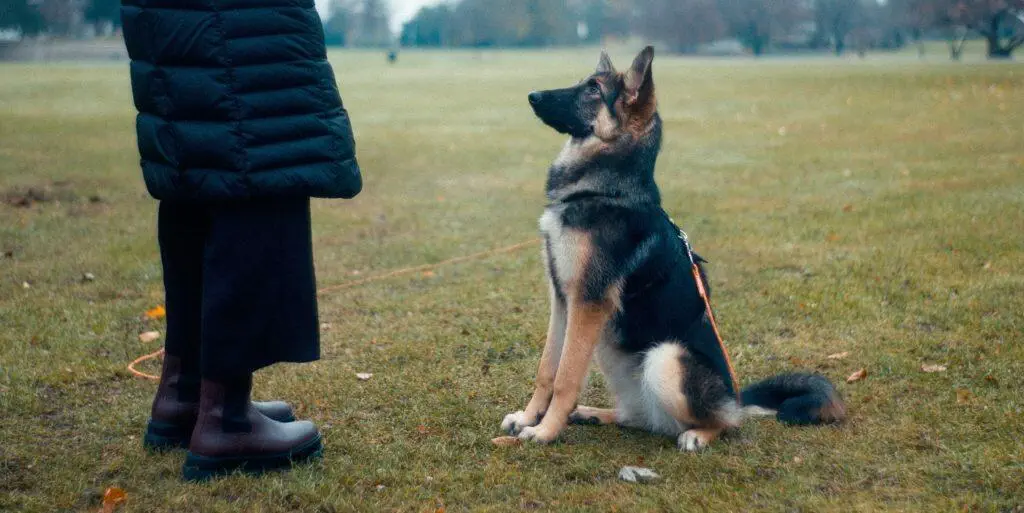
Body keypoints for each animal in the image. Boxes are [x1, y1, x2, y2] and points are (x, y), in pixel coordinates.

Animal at [499, 47, 843, 448]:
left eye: (593, 90)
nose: (532, 96)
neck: (604, 190)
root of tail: (735, 397)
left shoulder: (587, 302)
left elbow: (566, 378)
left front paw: (545, 430)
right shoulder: (563, 300)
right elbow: (547, 370)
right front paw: (528, 418)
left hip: (665, 357)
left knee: (727, 422)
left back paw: (699, 434)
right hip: (612, 352)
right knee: (638, 417)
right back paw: (593, 414)